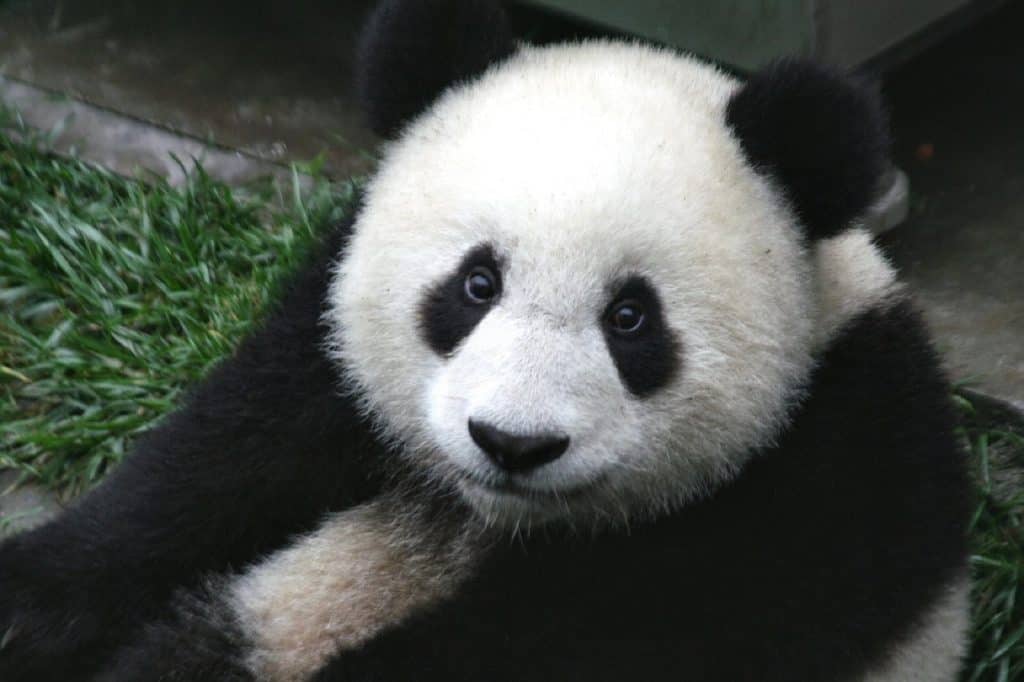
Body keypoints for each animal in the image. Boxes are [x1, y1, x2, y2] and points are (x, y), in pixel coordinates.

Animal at [0, 0, 966, 675]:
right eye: (476, 285)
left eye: (630, 318)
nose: (513, 443)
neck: (494, 518)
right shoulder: (326, 346)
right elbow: (214, 464)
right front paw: (25, 607)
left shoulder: (824, 483)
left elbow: (582, 641)